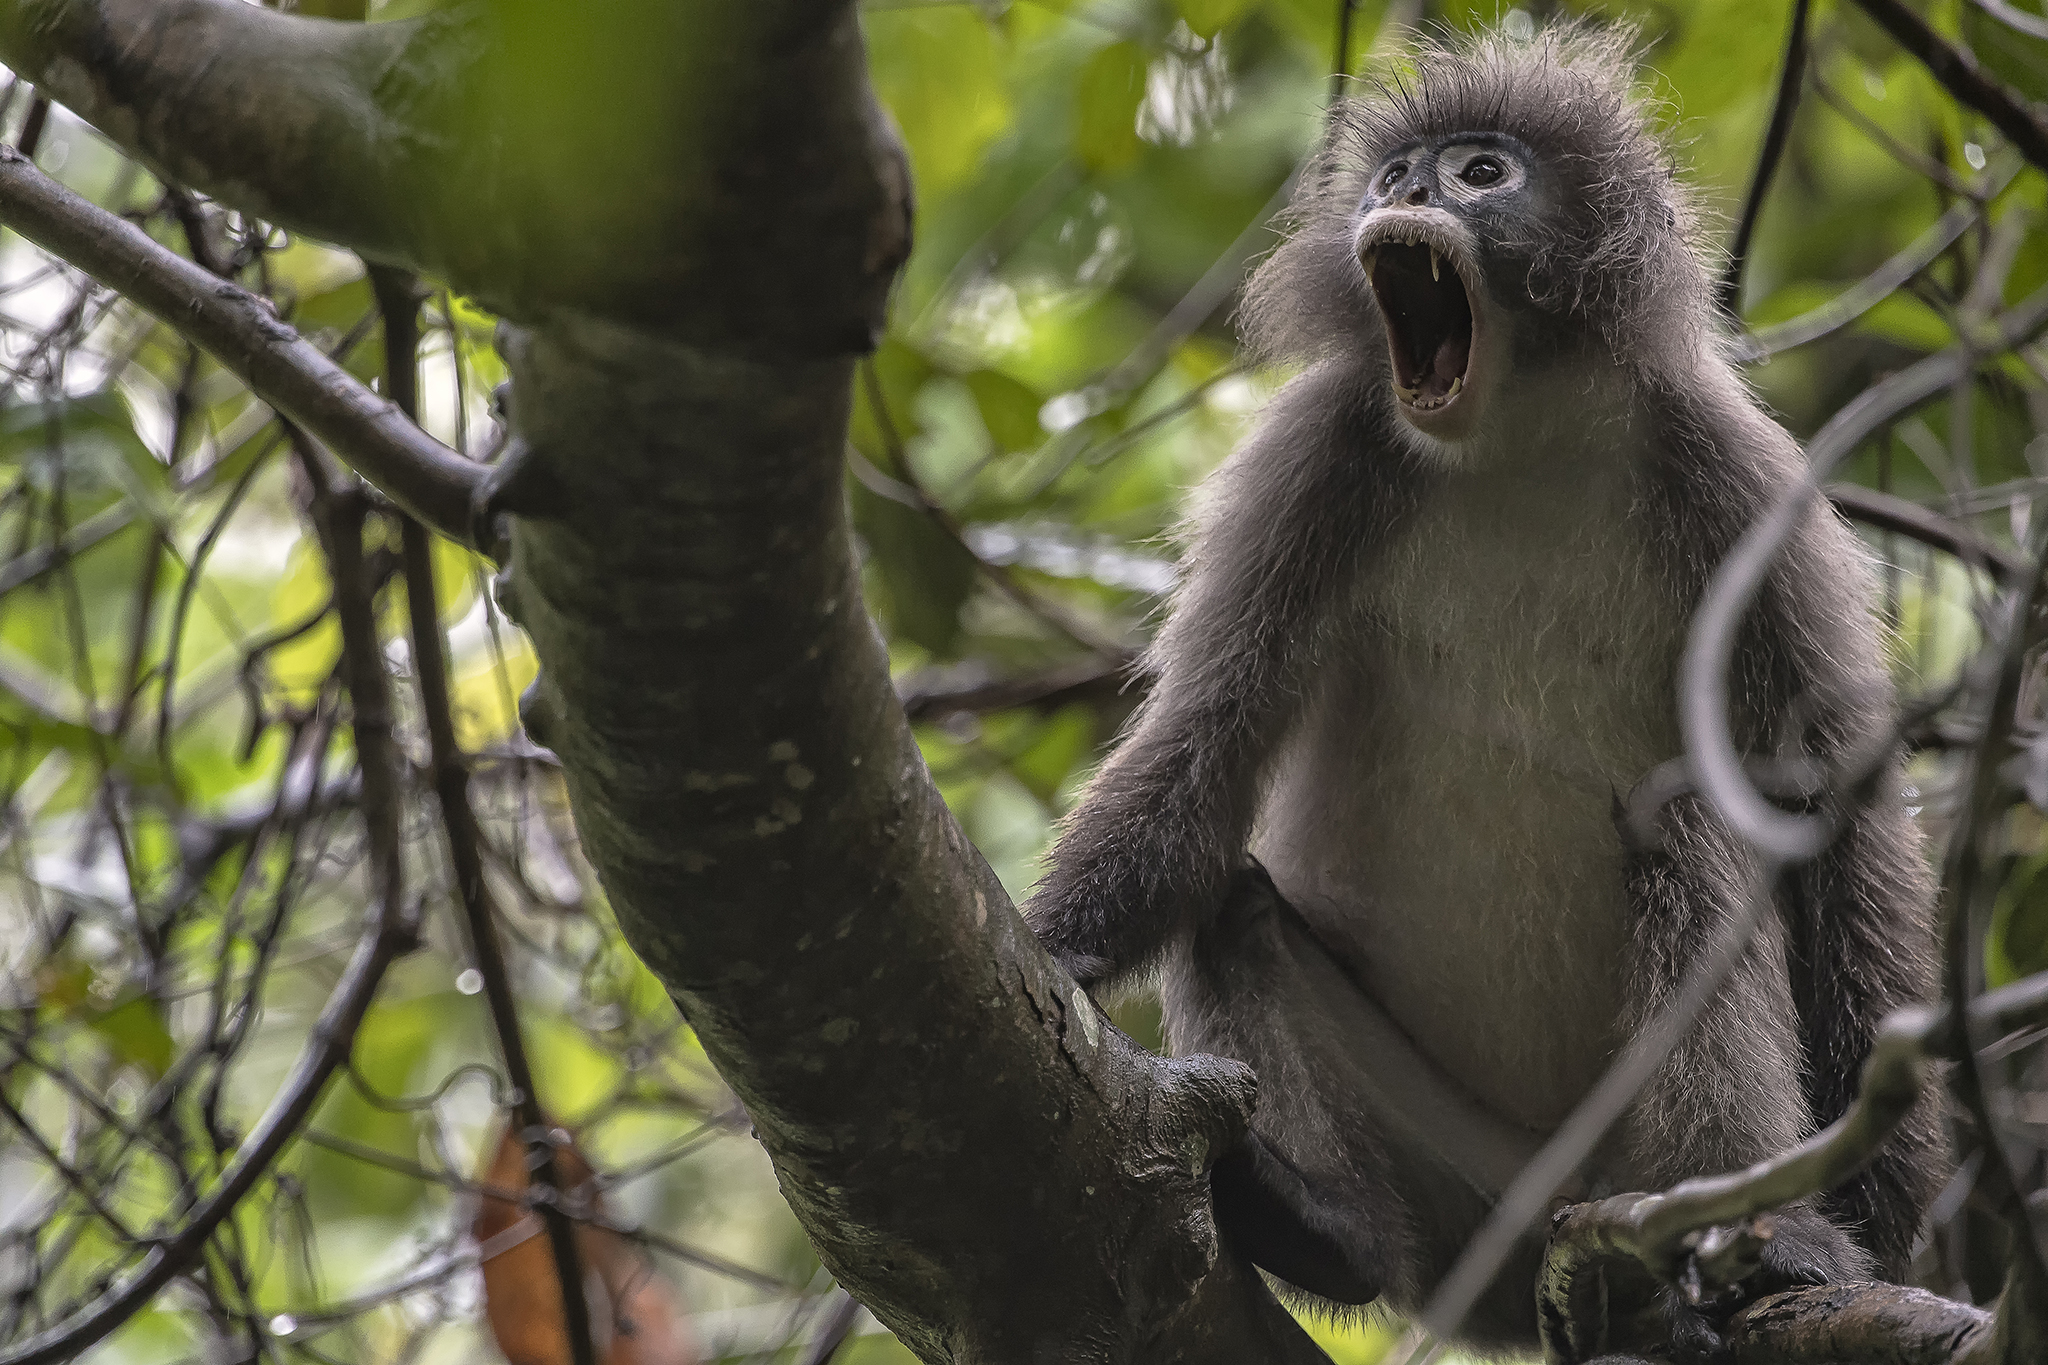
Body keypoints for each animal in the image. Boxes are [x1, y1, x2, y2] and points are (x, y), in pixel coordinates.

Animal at [1032, 21, 1941, 1358]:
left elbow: (1832, 797)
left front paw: (1882, 1203)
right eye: (1392, 174)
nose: (1401, 195)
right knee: (1231, 902)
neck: (1517, 435)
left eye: (1476, 173)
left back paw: (1750, 1236)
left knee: (1687, 824)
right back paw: (1321, 1225)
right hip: (1468, 1195)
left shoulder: (1736, 480)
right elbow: (1209, 733)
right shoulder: (1319, 454)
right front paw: (1055, 955)